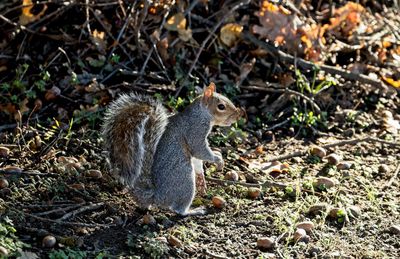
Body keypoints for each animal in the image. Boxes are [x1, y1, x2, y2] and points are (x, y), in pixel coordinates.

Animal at [101, 84, 242, 217]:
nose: (237, 116)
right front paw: (218, 159)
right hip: (185, 179)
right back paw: (193, 211)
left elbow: (198, 161)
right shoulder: (195, 131)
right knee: (179, 209)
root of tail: (157, 196)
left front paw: (203, 176)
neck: (201, 114)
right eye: (221, 106)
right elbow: (200, 151)